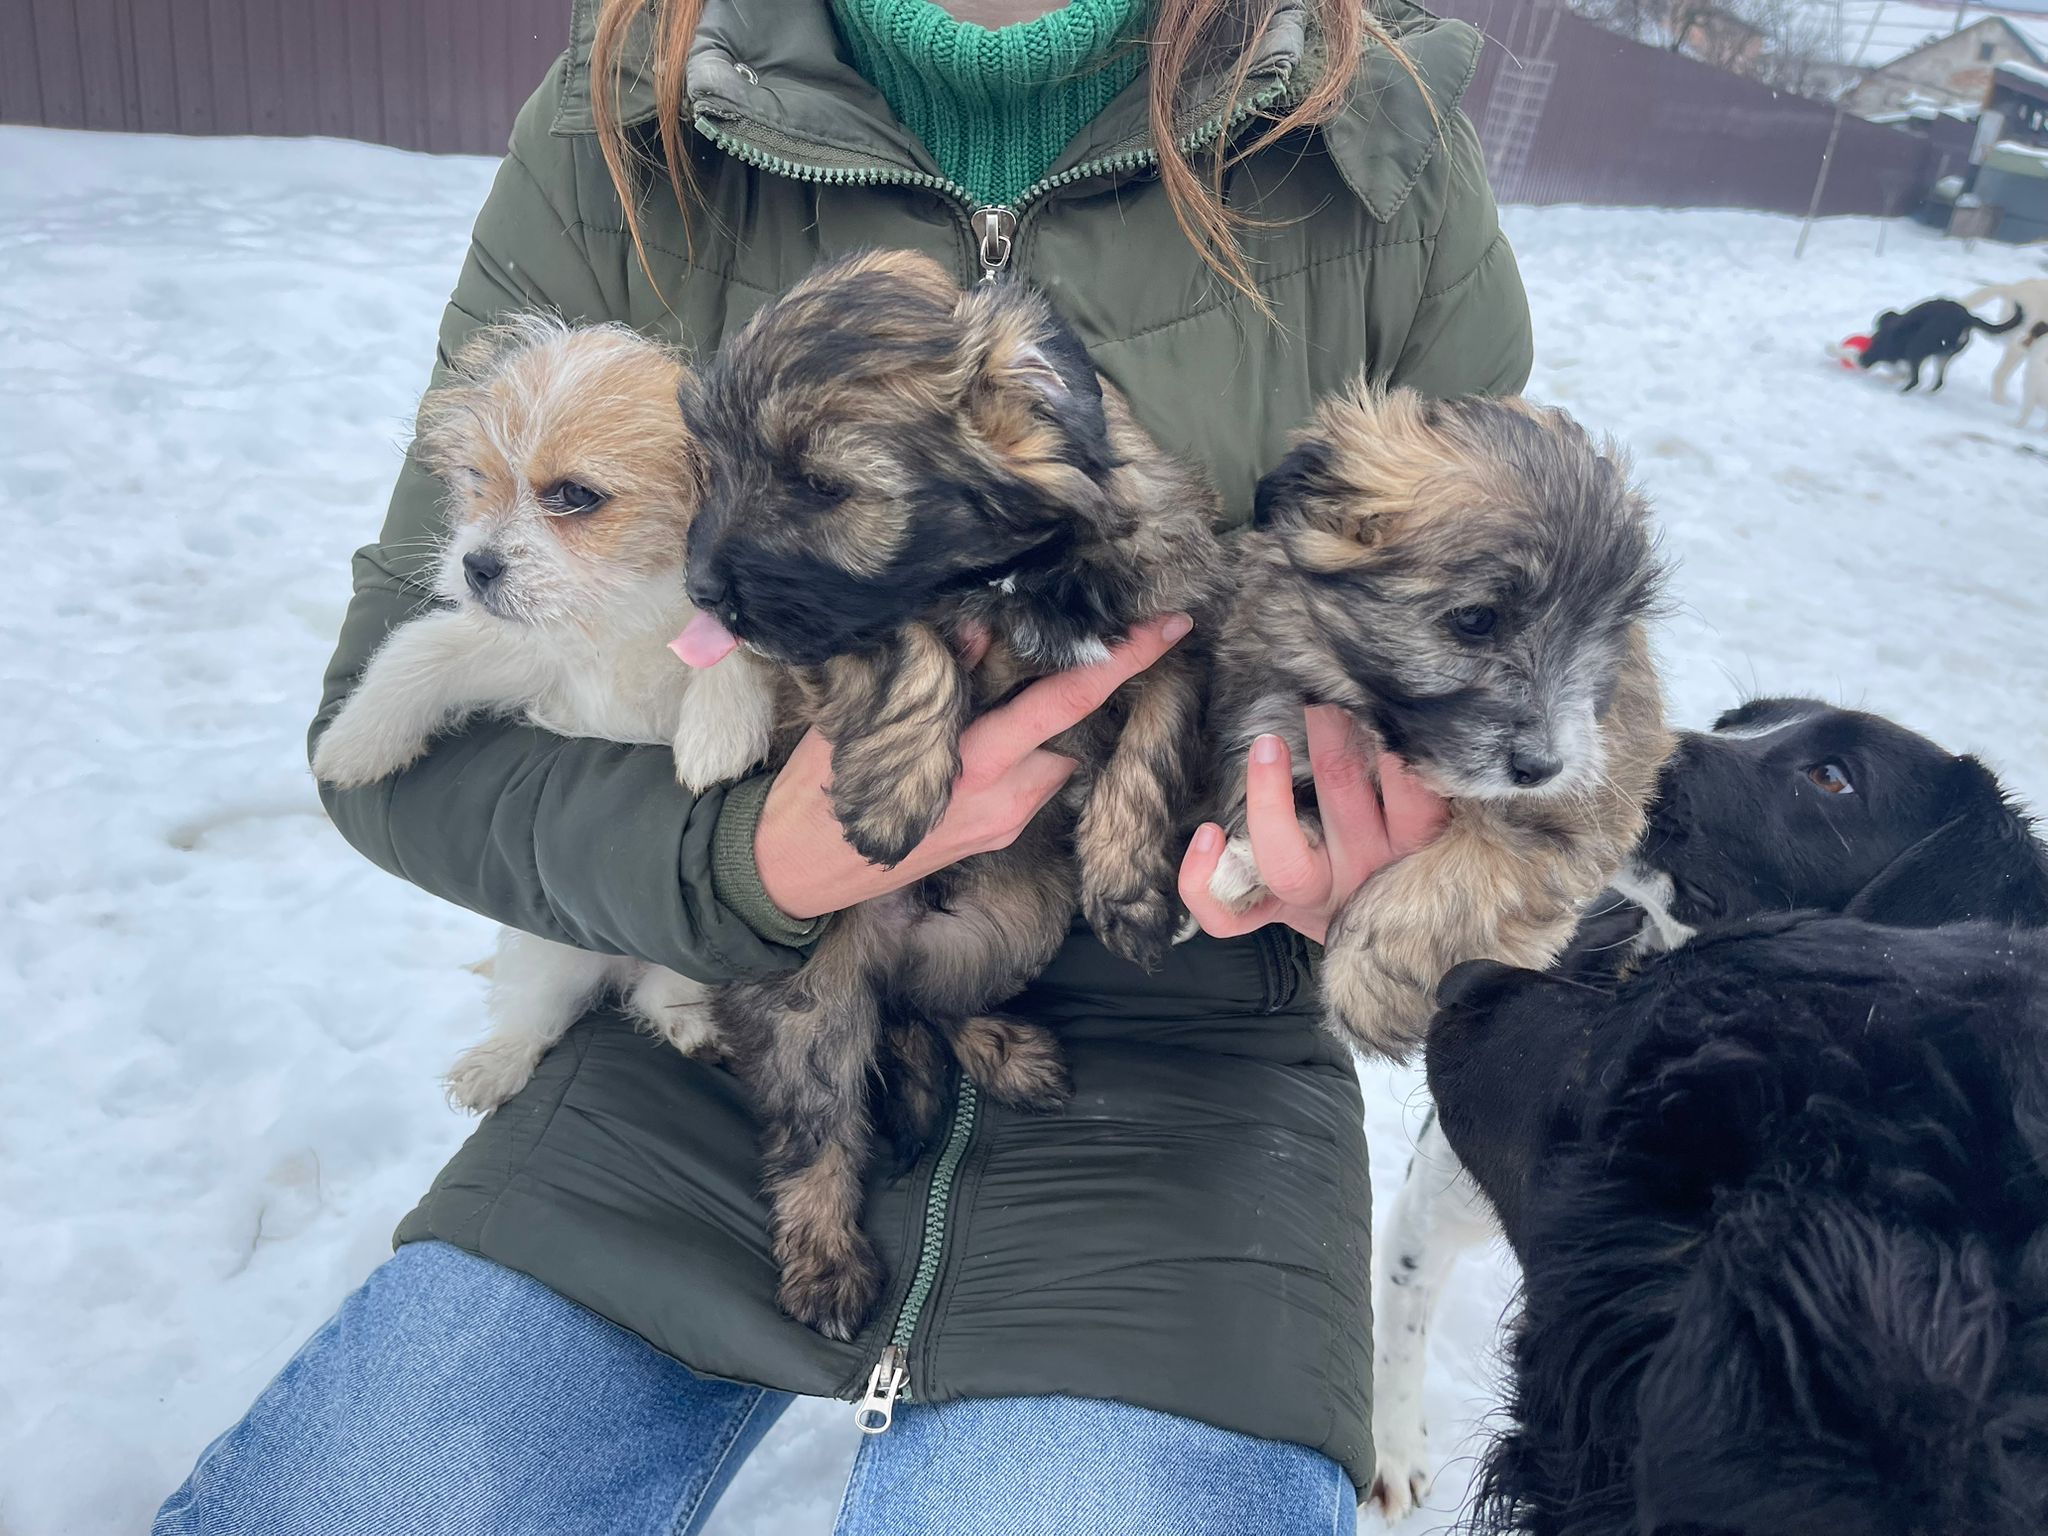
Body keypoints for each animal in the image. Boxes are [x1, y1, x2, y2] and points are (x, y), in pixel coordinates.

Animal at [311, 316, 778, 1110]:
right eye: (476, 480)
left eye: (575, 495)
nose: (476, 567)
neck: (624, 613)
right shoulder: (526, 651)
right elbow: (420, 646)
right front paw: (355, 744)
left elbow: (739, 636)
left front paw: (715, 733)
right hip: (550, 951)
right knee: (542, 1007)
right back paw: (497, 1064)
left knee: (658, 989)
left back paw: (689, 1021)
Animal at [674, 250, 1224, 1339]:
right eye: (714, 465)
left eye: (822, 487)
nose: (702, 590)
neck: (1008, 577)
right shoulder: (832, 634)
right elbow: (904, 637)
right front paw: (895, 791)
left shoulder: (1170, 627)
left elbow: (1149, 743)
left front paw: (1129, 888)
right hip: (812, 1002)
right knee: (815, 1135)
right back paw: (826, 1264)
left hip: (1015, 927)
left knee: (936, 1010)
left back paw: (1006, 1048)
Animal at [1206, 388, 1670, 1059]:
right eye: (1475, 618)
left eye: (1602, 632)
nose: (1541, 768)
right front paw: (1245, 862)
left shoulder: (1587, 810)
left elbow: (1460, 880)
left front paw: (1367, 989)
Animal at [1858, 297, 2022, 392]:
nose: (1860, 363)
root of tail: (1966, 317)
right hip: (1943, 354)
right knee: (1939, 382)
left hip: (1917, 347)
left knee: (1916, 381)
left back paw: (1902, 391)